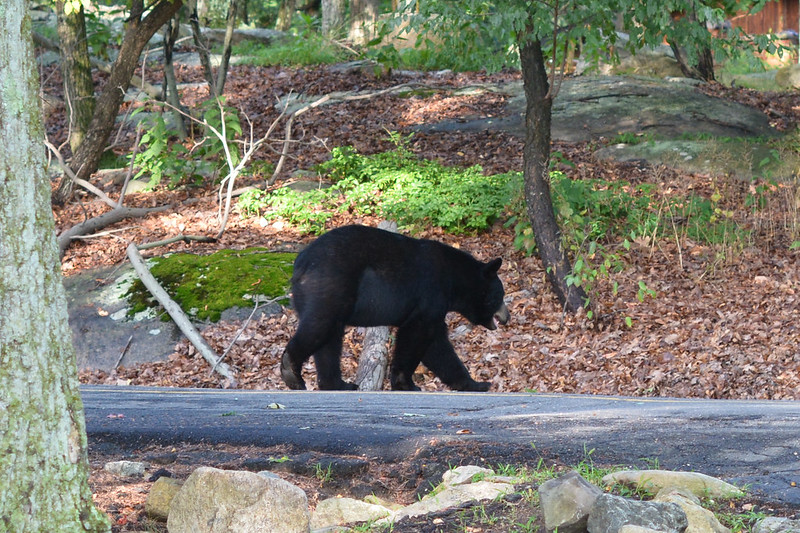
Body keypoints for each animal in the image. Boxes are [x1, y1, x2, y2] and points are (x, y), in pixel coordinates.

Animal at [280, 224, 510, 392]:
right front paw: (406, 383)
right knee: (320, 326)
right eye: (500, 295)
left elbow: (438, 346)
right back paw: (292, 372)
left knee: (330, 341)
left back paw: (338, 384)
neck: (454, 280)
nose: (507, 317)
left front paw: (476, 384)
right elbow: (418, 335)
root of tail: (300, 265)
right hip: (331, 286)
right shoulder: (430, 294)